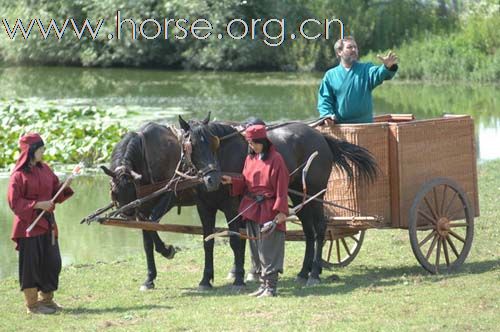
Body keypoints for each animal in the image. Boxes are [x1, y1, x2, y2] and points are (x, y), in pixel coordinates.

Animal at [100, 122, 245, 290]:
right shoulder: (143, 207)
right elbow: (147, 243)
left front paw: (166, 250)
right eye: (114, 192)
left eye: (132, 190)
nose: (128, 215)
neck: (146, 153)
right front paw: (149, 278)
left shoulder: (169, 196)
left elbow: (152, 223)